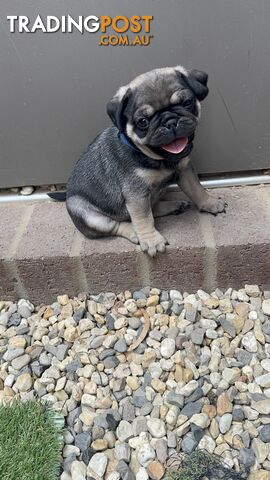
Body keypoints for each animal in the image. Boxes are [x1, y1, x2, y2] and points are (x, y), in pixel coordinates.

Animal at [65, 66, 226, 258]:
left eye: (187, 102)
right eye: (142, 122)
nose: (170, 122)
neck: (159, 159)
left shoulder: (185, 170)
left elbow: (196, 189)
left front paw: (209, 202)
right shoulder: (136, 193)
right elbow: (143, 217)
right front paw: (151, 240)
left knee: (152, 208)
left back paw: (173, 206)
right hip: (85, 213)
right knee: (117, 224)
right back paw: (135, 232)